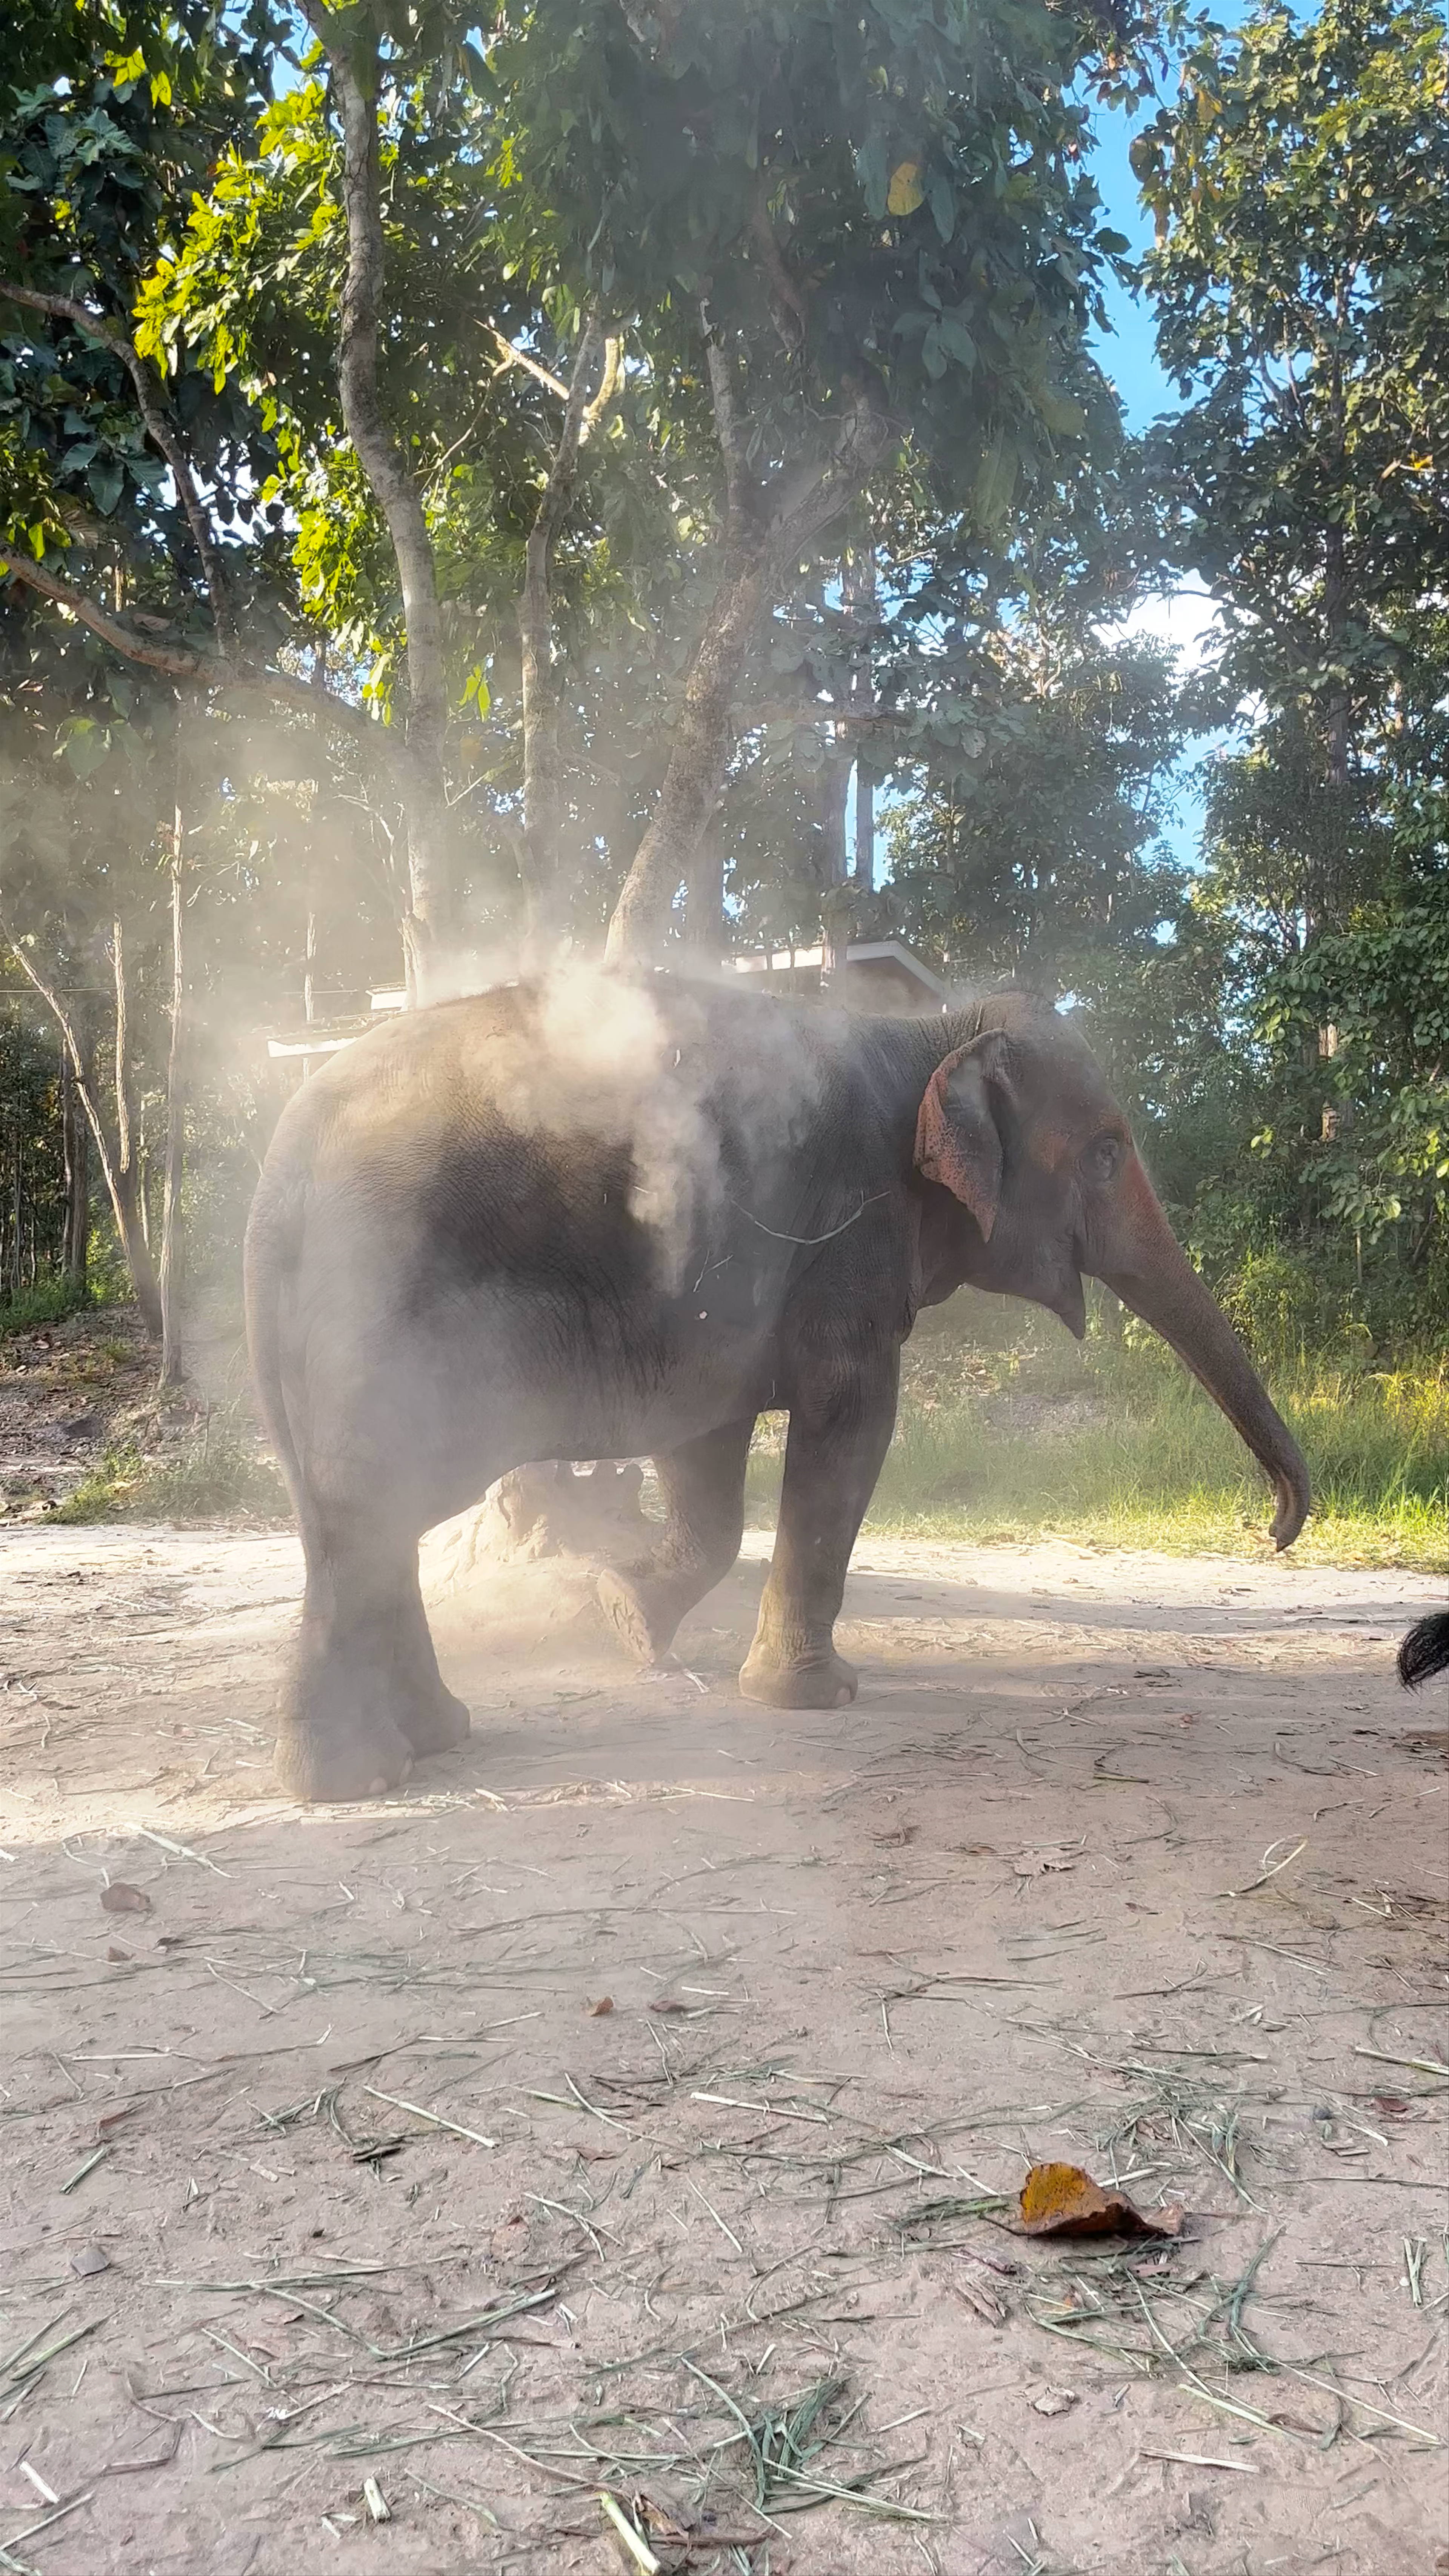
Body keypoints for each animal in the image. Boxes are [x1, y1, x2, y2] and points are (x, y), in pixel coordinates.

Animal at [244, 970, 1310, 1800]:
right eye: (1105, 1150)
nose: (1273, 1528)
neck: (932, 1030)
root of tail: (283, 1156)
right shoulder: (850, 1238)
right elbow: (850, 1424)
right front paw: (815, 1698)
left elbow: (704, 1449)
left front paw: (625, 1617)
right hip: (389, 1306)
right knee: (367, 1517)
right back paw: (353, 1780)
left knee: (354, 1522)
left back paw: (438, 1736)